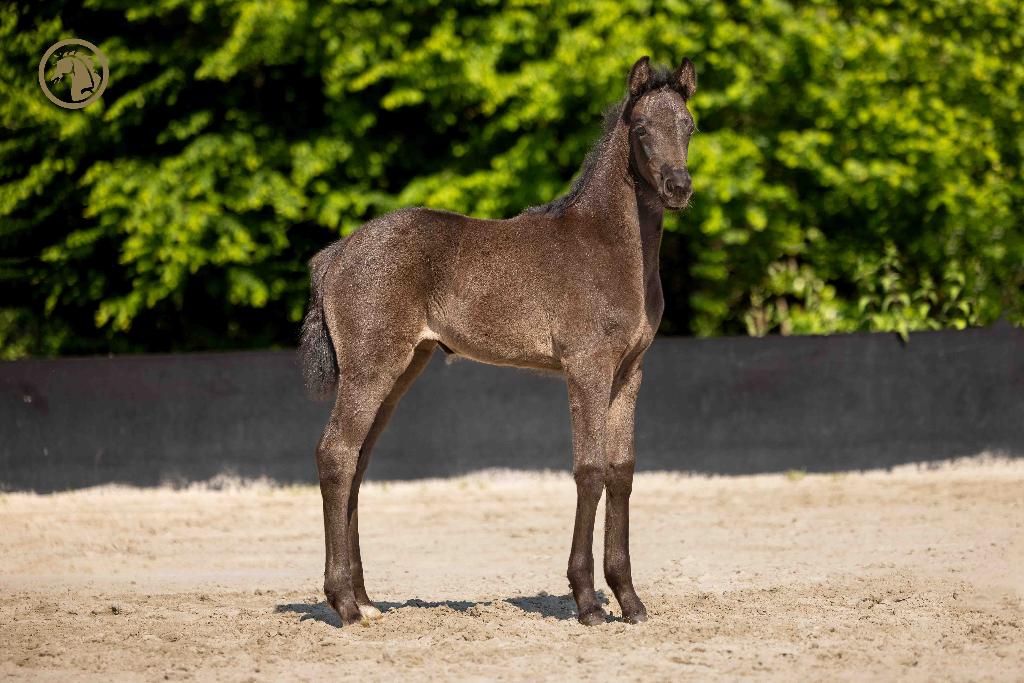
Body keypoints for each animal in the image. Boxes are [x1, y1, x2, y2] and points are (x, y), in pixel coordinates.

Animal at [301, 56, 697, 626]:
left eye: (689, 126)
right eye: (641, 129)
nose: (678, 187)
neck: (609, 247)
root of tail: (332, 256)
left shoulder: (630, 371)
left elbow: (621, 472)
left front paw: (630, 600)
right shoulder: (587, 366)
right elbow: (590, 470)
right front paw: (587, 602)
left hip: (401, 370)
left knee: (356, 461)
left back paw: (367, 600)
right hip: (370, 369)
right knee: (335, 454)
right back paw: (344, 606)